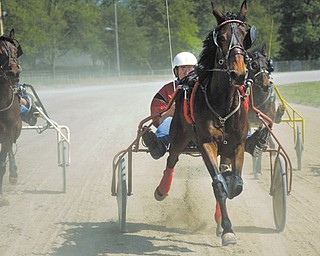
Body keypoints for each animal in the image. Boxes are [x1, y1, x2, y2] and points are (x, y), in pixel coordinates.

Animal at [154, 0, 256, 246]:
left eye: (245, 35)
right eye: (222, 37)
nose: (239, 73)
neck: (223, 104)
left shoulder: (237, 145)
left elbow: (236, 184)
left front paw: (224, 222)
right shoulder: (207, 143)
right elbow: (219, 186)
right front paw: (228, 229)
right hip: (179, 135)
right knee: (171, 159)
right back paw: (162, 189)